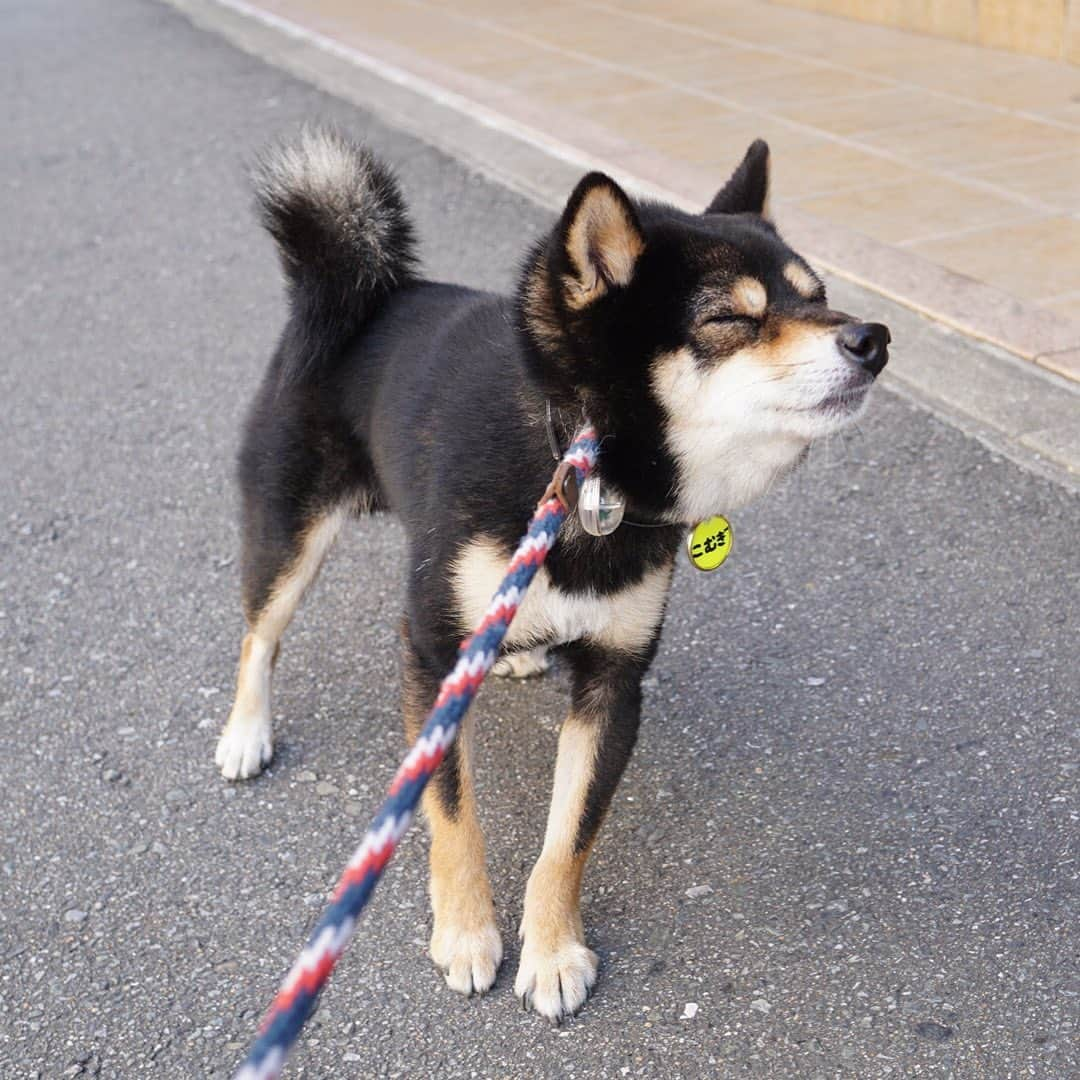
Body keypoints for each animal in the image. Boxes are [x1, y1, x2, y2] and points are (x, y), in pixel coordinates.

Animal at [214, 126, 889, 1019]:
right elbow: (452, 814)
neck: (576, 459)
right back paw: (245, 732)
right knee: (260, 633)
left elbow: (567, 840)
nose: (873, 338)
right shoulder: (434, 657)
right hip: (290, 530)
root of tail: (366, 290)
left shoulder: (615, 680)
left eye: (820, 299)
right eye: (731, 318)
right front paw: (468, 932)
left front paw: (555, 950)